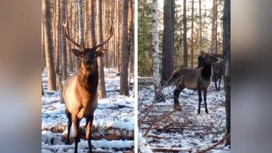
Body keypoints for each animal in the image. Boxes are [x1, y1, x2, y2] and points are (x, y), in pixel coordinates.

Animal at [61, 15, 113, 153]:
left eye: (95, 54)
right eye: (83, 54)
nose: (89, 61)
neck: (85, 99)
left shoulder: (91, 113)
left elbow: (89, 136)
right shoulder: (74, 111)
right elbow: (75, 134)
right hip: (67, 107)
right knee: (69, 124)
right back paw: (67, 141)